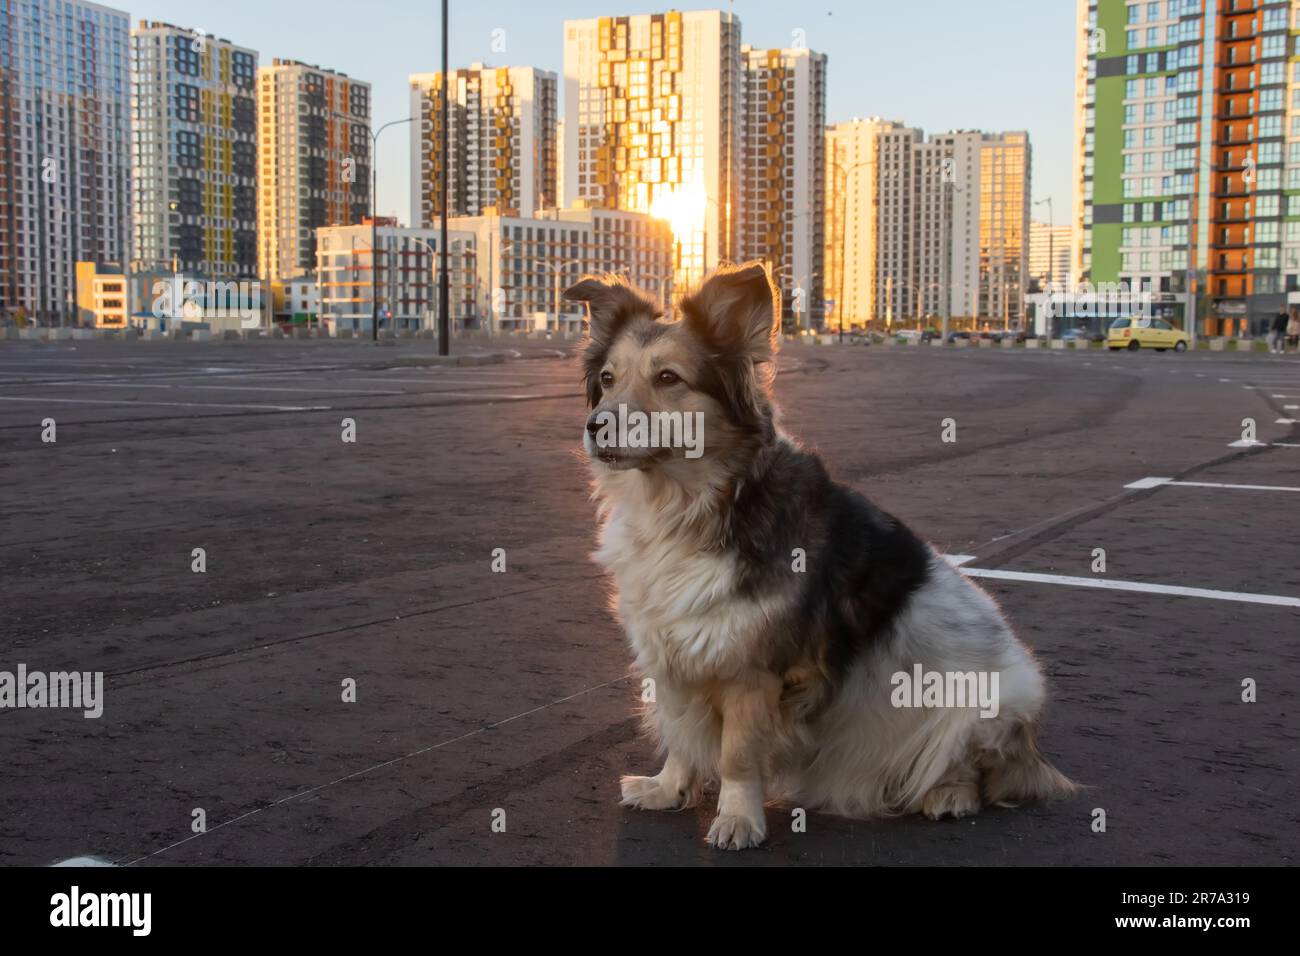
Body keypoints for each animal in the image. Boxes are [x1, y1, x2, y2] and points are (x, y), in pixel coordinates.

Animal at [564, 264, 1071, 853]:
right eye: (606, 379)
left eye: (668, 378)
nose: (595, 425)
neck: (692, 503)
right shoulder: (668, 651)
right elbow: (681, 732)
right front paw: (669, 789)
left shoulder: (755, 670)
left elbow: (738, 754)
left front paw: (738, 819)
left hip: (986, 698)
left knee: (983, 773)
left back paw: (949, 795)